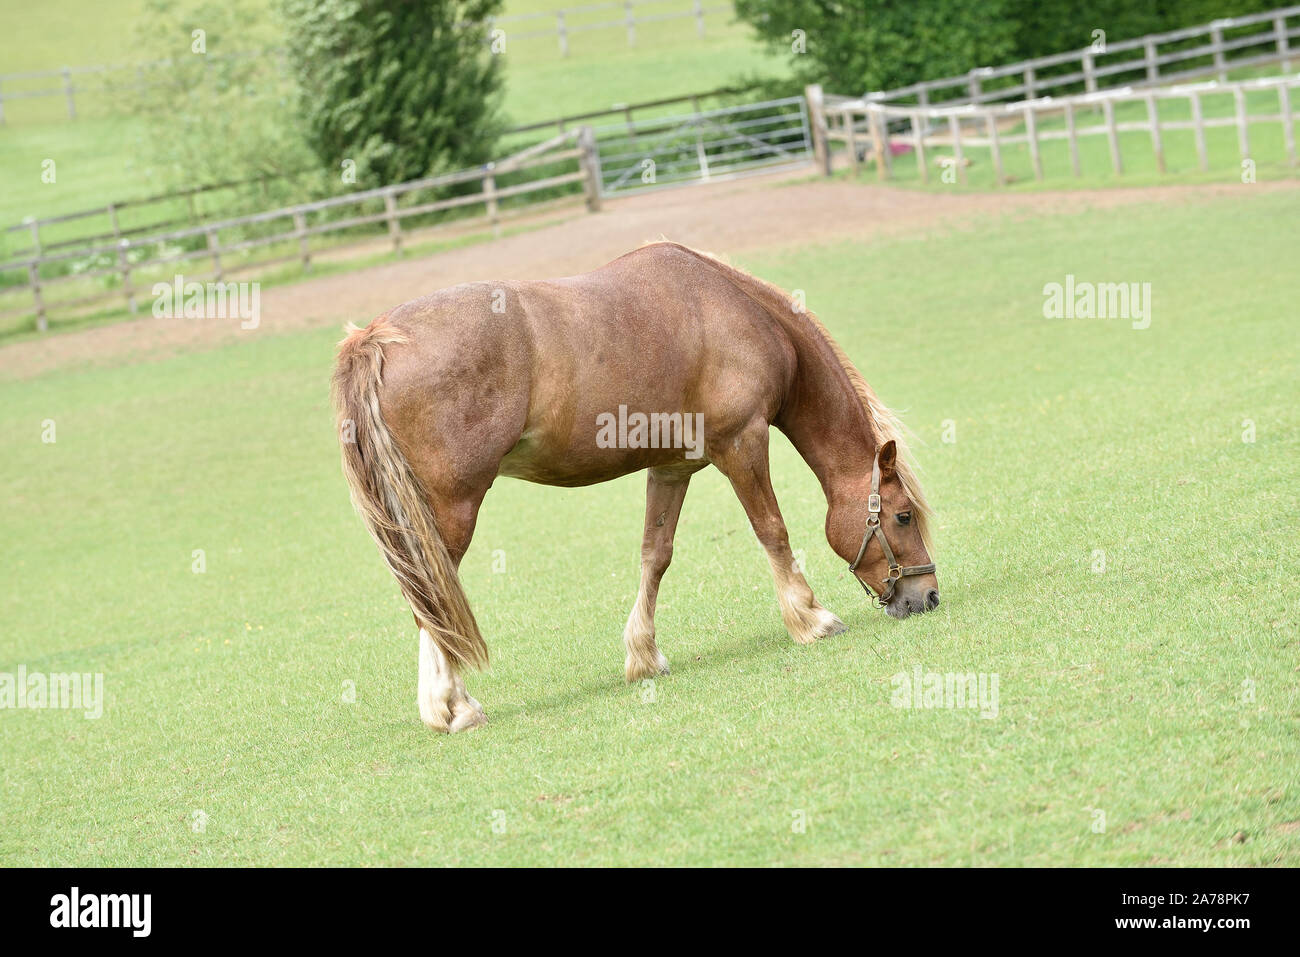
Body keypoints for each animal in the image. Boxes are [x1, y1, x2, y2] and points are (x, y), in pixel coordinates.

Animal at [332, 241, 939, 733]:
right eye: (903, 516)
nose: (927, 595)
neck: (734, 309)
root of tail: (375, 339)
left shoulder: (672, 468)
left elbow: (655, 555)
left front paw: (645, 655)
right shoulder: (742, 444)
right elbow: (773, 531)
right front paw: (812, 619)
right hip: (449, 512)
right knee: (433, 600)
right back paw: (453, 708)